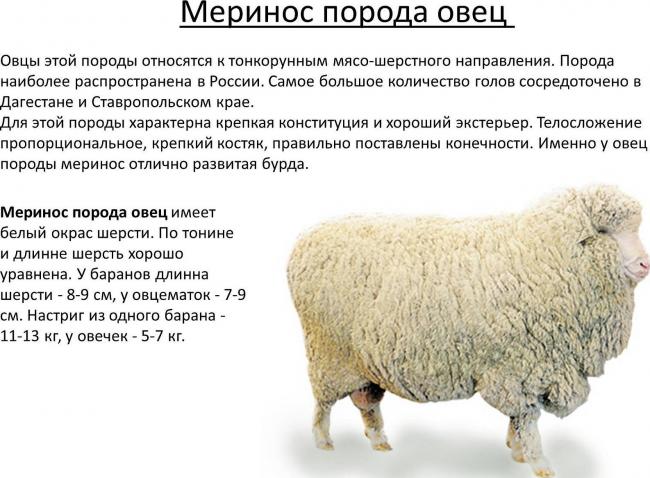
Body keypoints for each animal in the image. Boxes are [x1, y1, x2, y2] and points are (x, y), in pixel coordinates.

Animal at [287, 185, 647, 477]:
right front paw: (538, 461)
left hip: (363, 360)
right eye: (606, 232)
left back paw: (378, 441)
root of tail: (306, 239)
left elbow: (521, 417)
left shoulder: (527, 365)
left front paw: (517, 450)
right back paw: (323, 441)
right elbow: (528, 417)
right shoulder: (519, 363)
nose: (645, 264)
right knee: (324, 402)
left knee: (366, 403)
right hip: (328, 351)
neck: (544, 256)